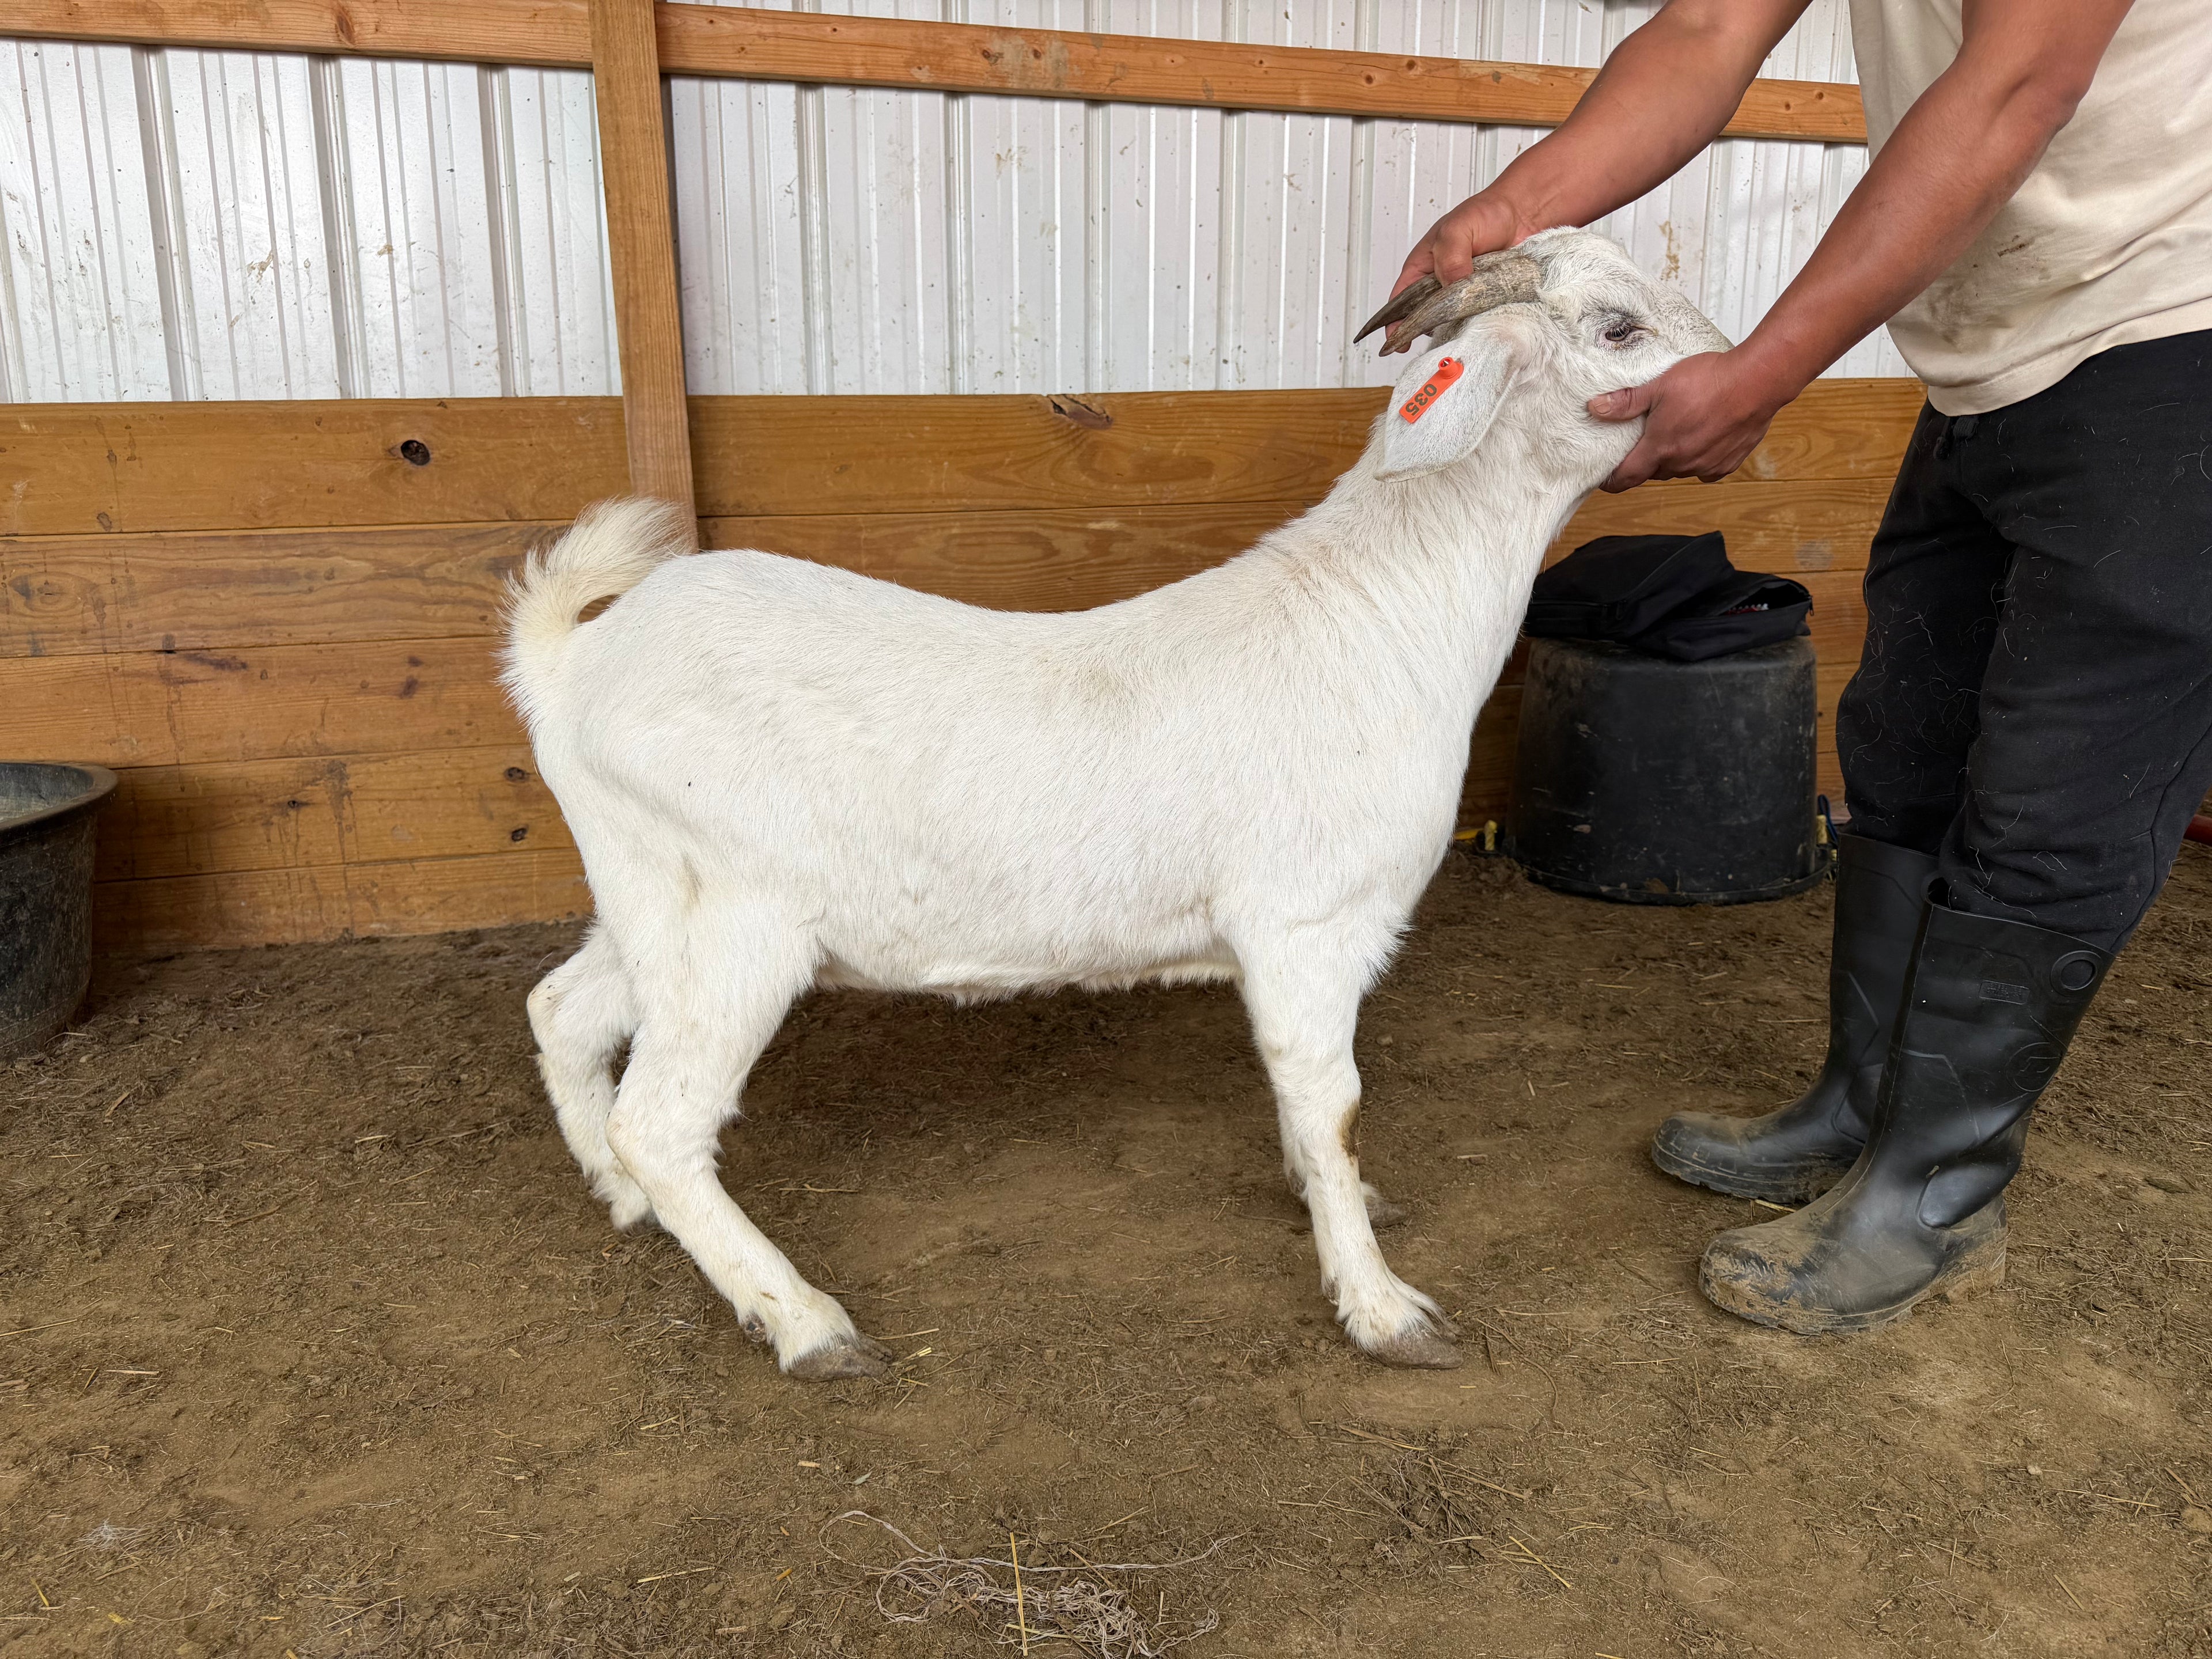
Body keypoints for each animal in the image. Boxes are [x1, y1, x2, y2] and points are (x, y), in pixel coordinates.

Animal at [505, 228, 1730, 1379]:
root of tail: (568, 664)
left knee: (562, 1011)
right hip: (736, 923)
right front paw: (1381, 1306)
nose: (1732, 377)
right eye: (1618, 326)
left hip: (647, 900)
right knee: (664, 1121)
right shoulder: (1310, 924)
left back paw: (618, 1194)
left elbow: (1306, 1111)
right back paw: (802, 1321)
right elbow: (1331, 1104)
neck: (1380, 615)